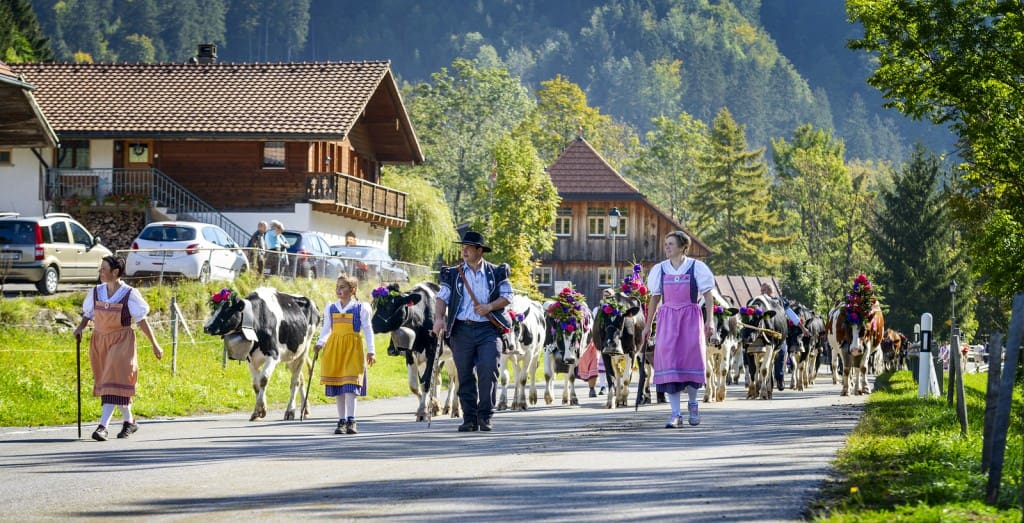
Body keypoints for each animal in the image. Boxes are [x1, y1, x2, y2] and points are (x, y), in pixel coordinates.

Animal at [203, 286, 319, 421]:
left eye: (226, 310)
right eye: (214, 309)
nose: (207, 327)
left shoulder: (273, 355)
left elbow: (263, 379)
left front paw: (260, 409)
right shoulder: (250, 358)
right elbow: (256, 384)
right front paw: (257, 412)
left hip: (304, 350)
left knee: (295, 381)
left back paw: (290, 411)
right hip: (291, 354)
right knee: (300, 379)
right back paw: (305, 410)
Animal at [370, 282, 458, 421]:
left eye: (390, 305)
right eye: (376, 305)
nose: (373, 324)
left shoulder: (433, 352)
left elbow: (426, 381)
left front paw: (423, 410)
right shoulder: (411, 354)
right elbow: (415, 385)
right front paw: (430, 406)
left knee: (454, 379)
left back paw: (454, 408)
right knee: (441, 378)